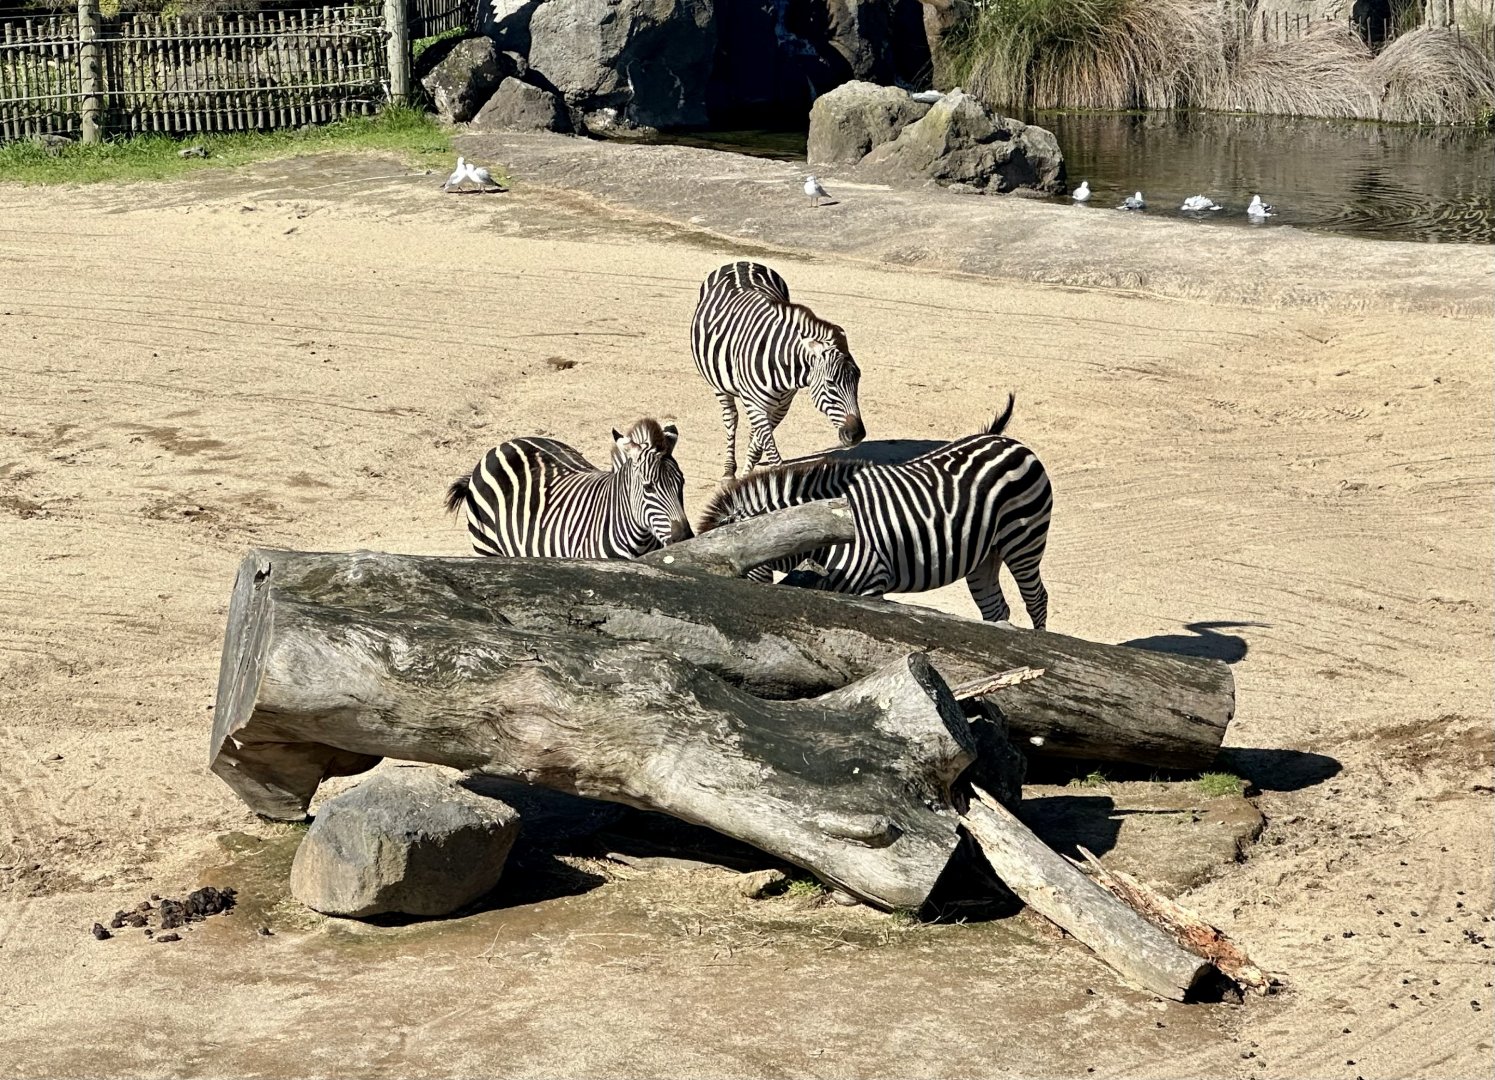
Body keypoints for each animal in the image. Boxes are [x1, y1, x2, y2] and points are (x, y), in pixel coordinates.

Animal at [690, 260, 866, 479]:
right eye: (830, 383)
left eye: (858, 379)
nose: (857, 434)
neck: (785, 365)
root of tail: (742, 262)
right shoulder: (756, 404)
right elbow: (773, 454)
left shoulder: (782, 406)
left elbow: (759, 443)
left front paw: (748, 472)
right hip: (719, 385)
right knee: (731, 419)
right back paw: (728, 470)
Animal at [697, 395, 1052, 628]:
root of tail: (1001, 439)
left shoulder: (872, 585)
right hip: (985, 553)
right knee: (996, 612)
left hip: (1025, 540)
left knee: (1037, 600)